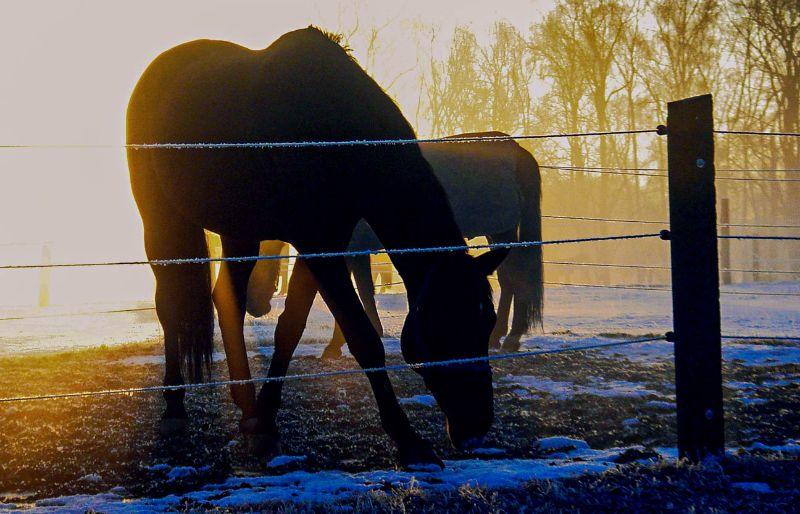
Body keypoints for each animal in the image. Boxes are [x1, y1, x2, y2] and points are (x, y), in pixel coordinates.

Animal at [129, 29, 510, 468]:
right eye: (443, 325)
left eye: (486, 323)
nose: (476, 426)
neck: (332, 131)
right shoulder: (318, 248)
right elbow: (363, 339)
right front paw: (409, 440)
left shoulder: (322, 247)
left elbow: (290, 329)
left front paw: (265, 419)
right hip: (160, 221)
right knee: (170, 306)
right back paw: (174, 406)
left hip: (240, 232)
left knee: (227, 301)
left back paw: (245, 406)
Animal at [247, 134, 540, 354]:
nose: (255, 307)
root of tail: (515, 149)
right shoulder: (356, 250)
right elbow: (363, 290)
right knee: (509, 280)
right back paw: (500, 335)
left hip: (501, 230)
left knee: (515, 280)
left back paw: (509, 336)